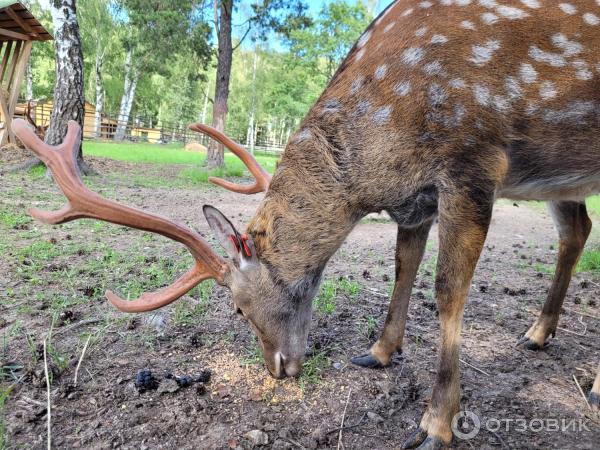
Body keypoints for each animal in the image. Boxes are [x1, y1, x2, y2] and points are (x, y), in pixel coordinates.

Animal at [11, 1, 600, 448]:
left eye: (237, 306)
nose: (277, 368)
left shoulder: (474, 163)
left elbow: (448, 290)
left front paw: (436, 424)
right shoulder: (417, 199)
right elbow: (403, 265)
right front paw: (379, 353)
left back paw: (585, 381)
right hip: (561, 180)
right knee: (579, 228)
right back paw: (538, 334)